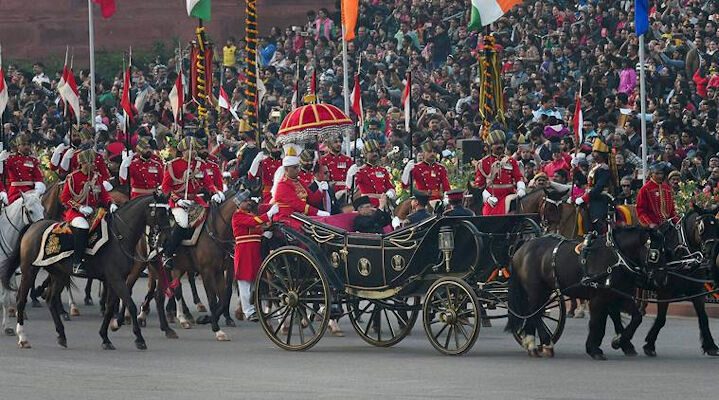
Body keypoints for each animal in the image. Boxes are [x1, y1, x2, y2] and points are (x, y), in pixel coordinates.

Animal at [506, 227, 668, 360]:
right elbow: (597, 323)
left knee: (532, 313)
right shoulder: (598, 298)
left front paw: (618, 342)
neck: (616, 258)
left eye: (667, 251)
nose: (663, 280)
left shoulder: (620, 296)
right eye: (655, 254)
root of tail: (523, 247)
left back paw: (532, 344)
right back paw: (546, 343)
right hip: (535, 289)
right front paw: (594, 349)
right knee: (535, 313)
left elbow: (636, 318)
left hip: (544, 290)